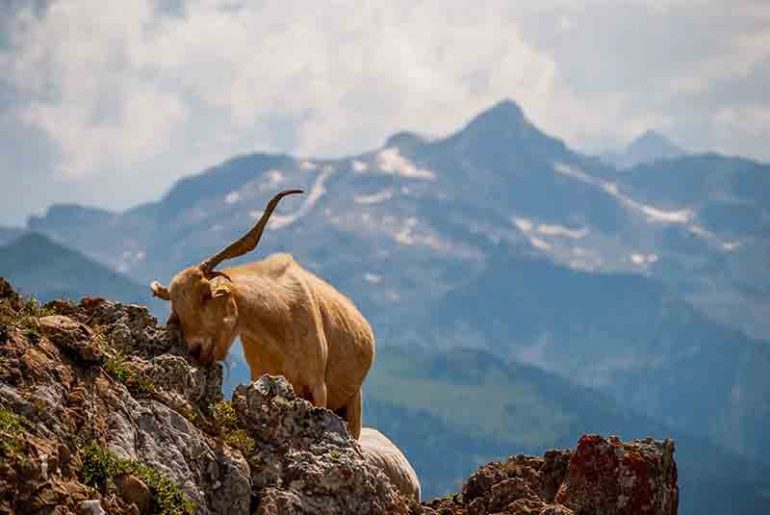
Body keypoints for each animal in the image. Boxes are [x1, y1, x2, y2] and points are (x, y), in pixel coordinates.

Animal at [148, 189, 374, 440]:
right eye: (177, 308)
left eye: (206, 295)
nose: (196, 349)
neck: (280, 322)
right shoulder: (259, 375)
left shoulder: (317, 386)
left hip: (353, 404)